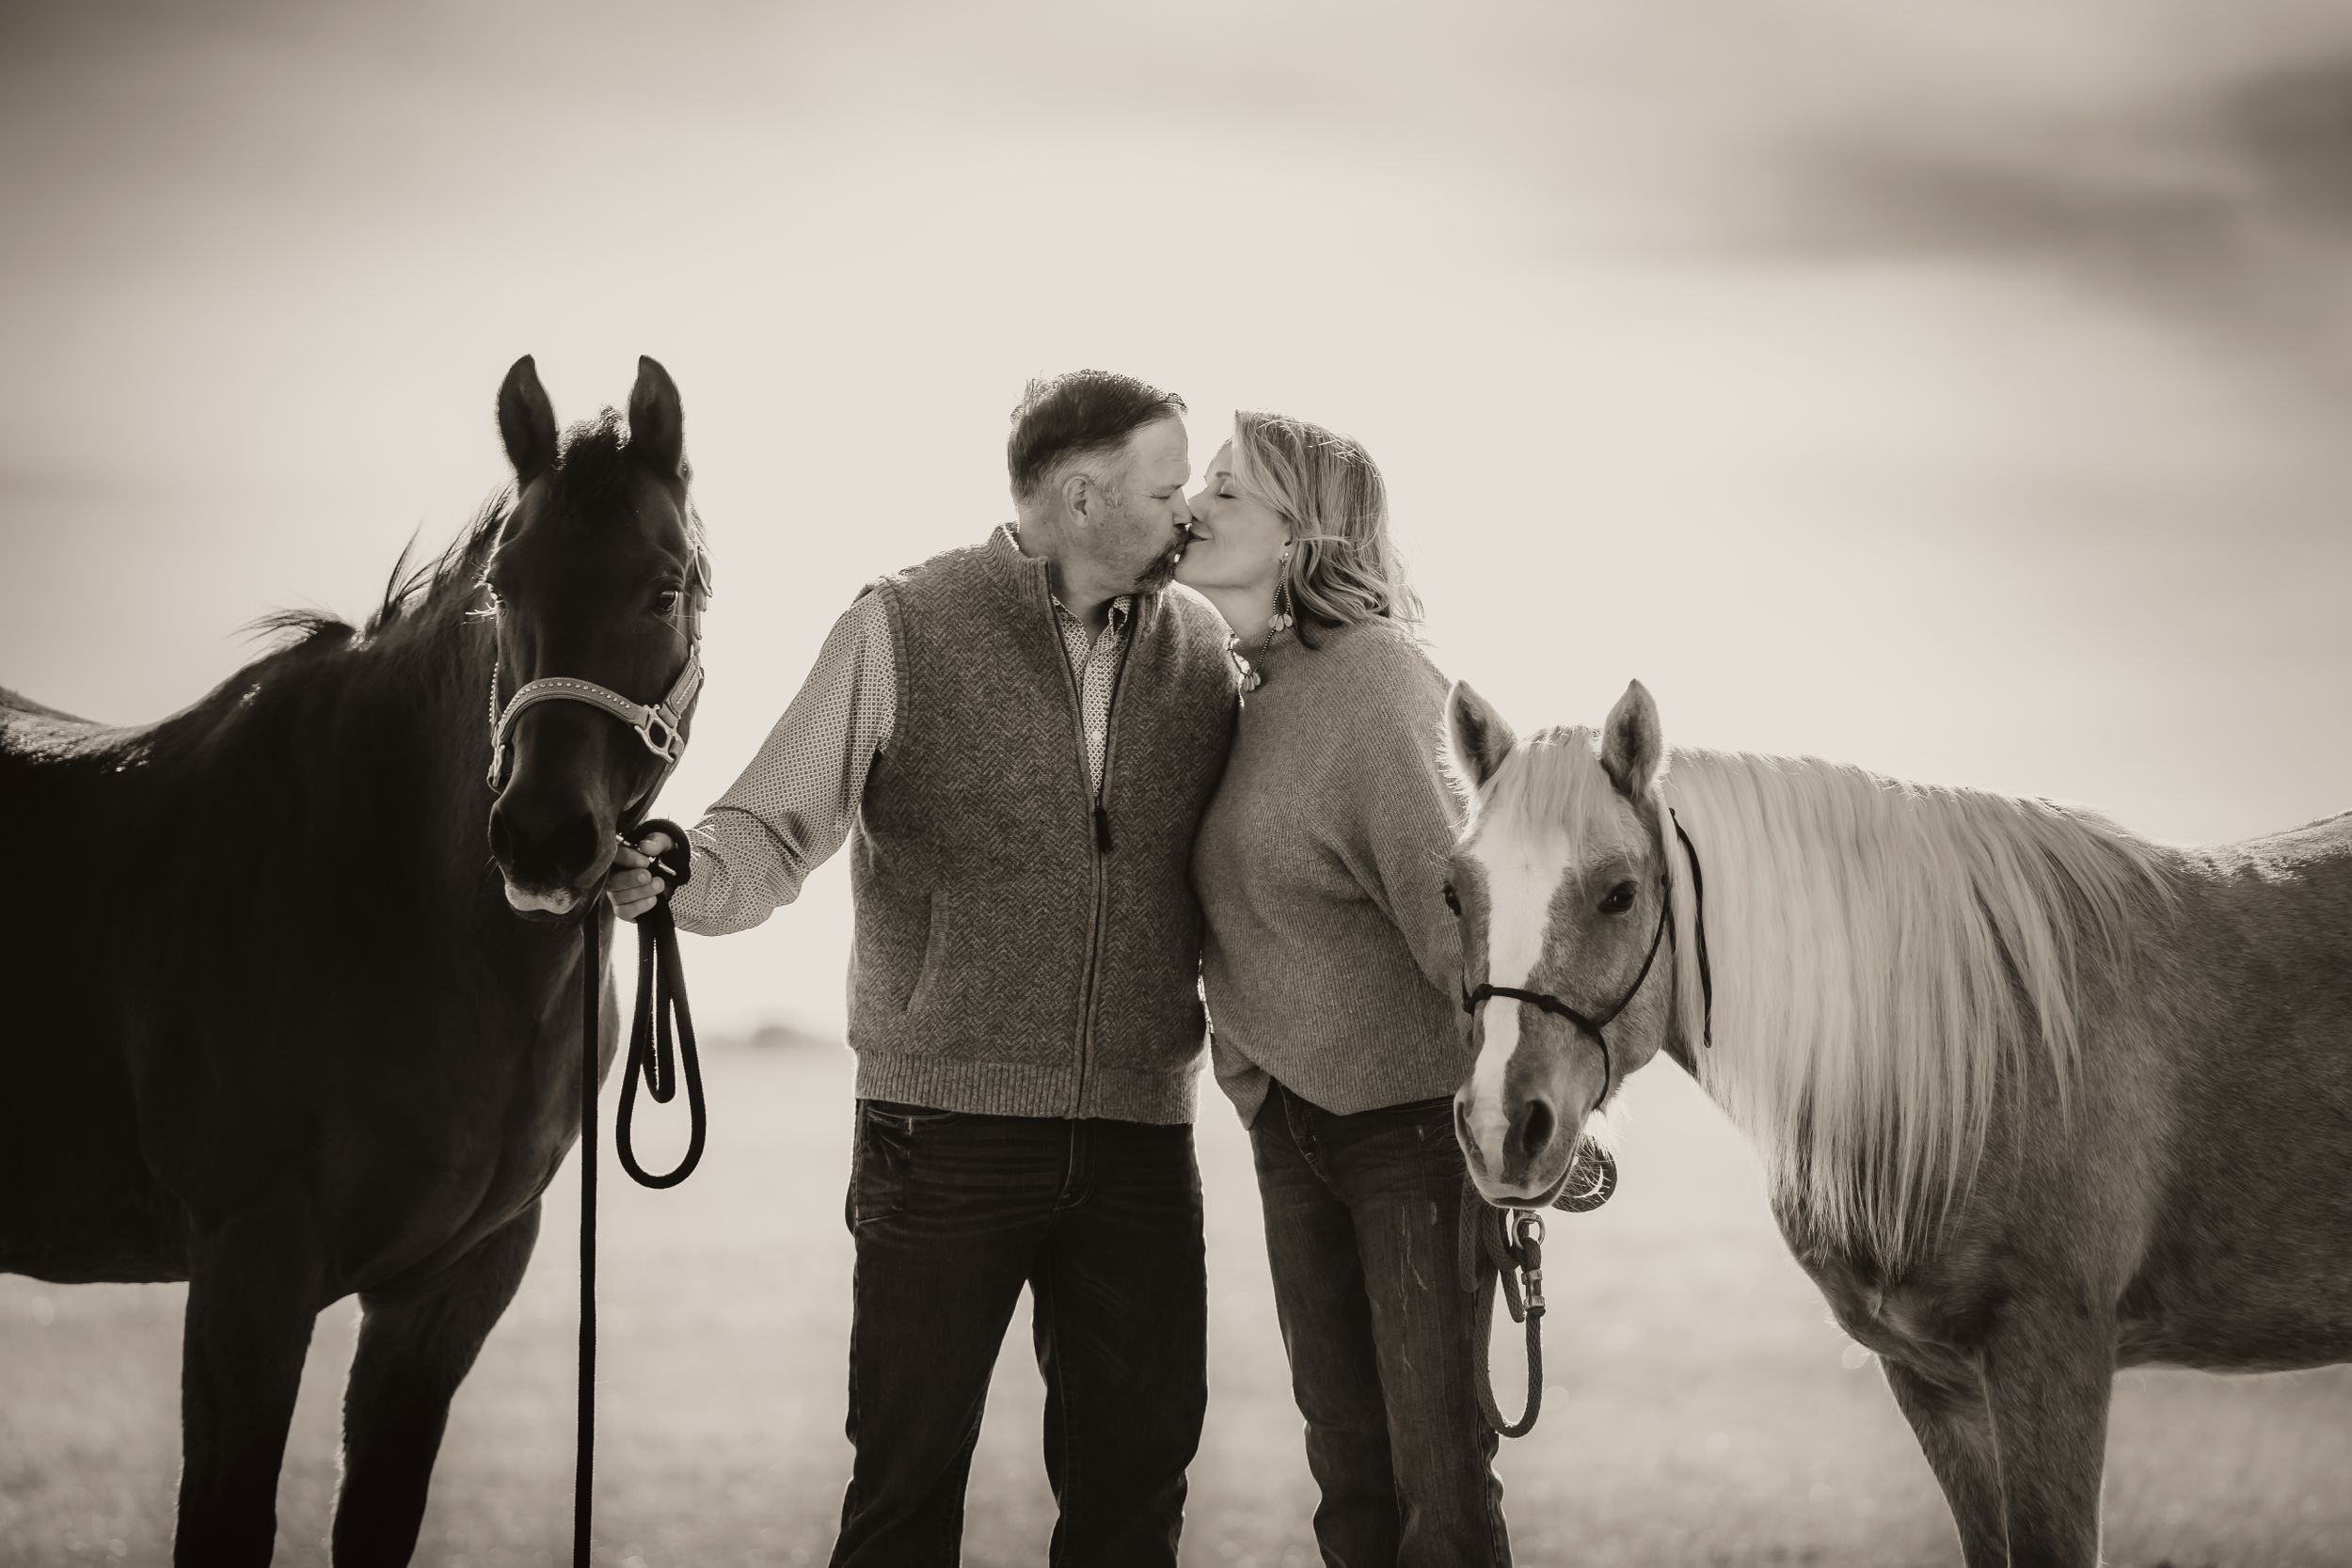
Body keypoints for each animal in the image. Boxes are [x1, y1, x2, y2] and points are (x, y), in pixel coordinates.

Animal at [1438, 677, 2352, 1568]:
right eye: (1455, 893)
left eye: (1620, 894)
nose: (1501, 1126)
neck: (1993, 1046)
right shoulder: (1931, 1378)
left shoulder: (2052, 1356)